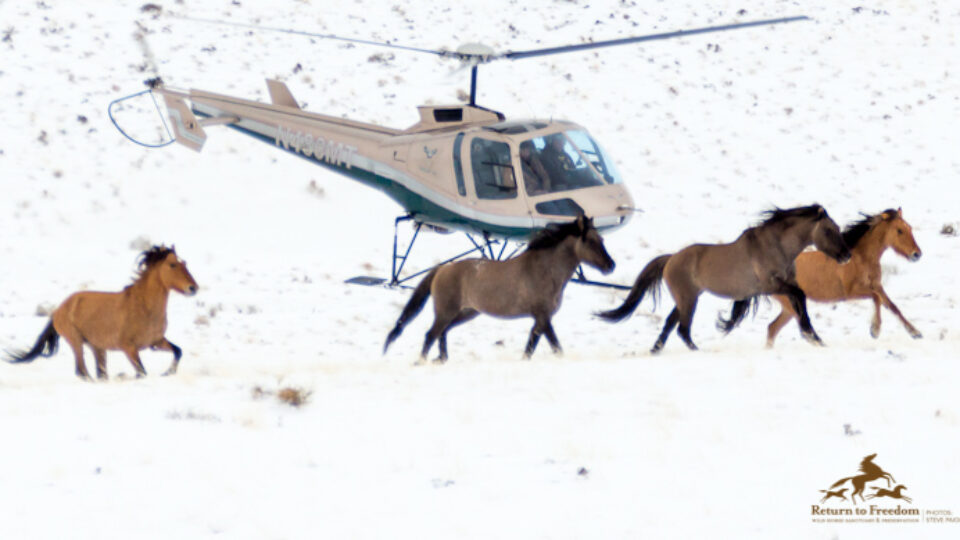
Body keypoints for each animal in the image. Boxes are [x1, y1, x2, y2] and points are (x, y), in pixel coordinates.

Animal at [6, 245, 198, 380]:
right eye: (172, 265)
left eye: (184, 263)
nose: (193, 288)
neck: (144, 307)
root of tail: (58, 310)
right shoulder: (129, 348)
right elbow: (142, 372)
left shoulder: (156, 341)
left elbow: (177, 351)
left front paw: (168, 373)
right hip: (76, 341)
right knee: (82, 372)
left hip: (97, 347)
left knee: (100, 373)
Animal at [383, 214, 615, 362]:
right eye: (591, 241)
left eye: (602, 239)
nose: (610, 265)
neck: (545, 270)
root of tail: (443, 268)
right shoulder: (543, 316)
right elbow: (555, 346)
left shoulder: (539, 320)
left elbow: (530, 348)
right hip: (446, 313)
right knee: (431, 335)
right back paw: (423, 361)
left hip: (466, 313)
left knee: (442, 333)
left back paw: (441, 359)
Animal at [597, 204, 850, 353]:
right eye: (828, 230)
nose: (846, 255)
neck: (776, 246)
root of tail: (671, 259)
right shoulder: (770, 286)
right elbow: (799, 297)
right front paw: (810, 334)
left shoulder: (786, 284)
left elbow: (800, 302)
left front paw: (814, 337)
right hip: (688, 299)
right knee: (682, 329)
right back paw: (696, 351)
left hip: (685, 299)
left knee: (671, 324)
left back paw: (656, 349)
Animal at [765, 208, 922, 347]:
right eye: (899, 230)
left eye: (910, 228)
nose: (917, 254)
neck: (860, 259)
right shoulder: (850, 293)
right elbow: (876, 298)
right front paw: (875, 330)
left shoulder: (877, 286)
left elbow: (893, 306)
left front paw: (915, 333)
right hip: (791, 305)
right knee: (801, 330)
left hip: (788, 308)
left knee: (773, 328)